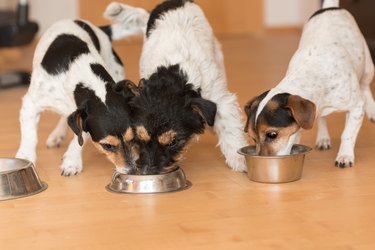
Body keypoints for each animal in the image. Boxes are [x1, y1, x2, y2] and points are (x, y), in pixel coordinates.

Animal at [15, 3, 148, 176]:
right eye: (107, 146)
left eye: (134, 139)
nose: (132, 171)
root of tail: (99, 30)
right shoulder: (30, 104)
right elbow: (29, 136)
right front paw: (25, 157)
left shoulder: (83, 118)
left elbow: (80, 138)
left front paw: (72, 161)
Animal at [108, 0, 250, 175]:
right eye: (138, 138)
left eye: (172, 142)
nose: (147, 173)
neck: (174, 75)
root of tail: (172, 2)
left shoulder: (220, 100)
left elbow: (229, 128)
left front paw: (239, 159)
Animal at [244, 0, 375, 168]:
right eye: (252, 138)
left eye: (272, 134)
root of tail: (329, 7)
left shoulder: (356, 108)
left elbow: (347, 134)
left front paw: (345, 156)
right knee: (321, 118)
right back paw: (323, 137)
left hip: (367, 67)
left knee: (365, 86)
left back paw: (371, 109)